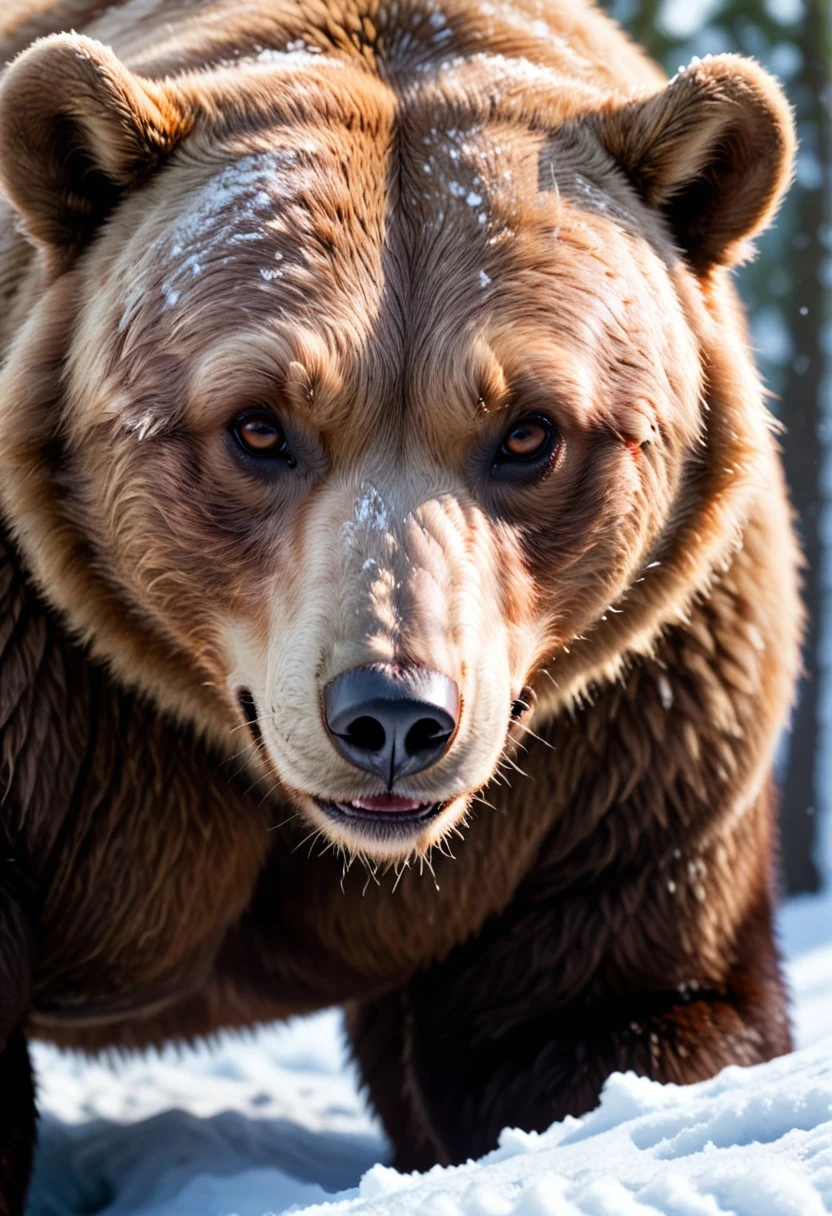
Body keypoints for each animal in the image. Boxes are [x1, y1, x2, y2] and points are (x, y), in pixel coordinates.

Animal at [0, 0, 801, 1210]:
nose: (391, 718)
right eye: (258, 424)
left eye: (529, 430)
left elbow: (601, 1011)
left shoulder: (623, 764)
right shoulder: (54, 712)